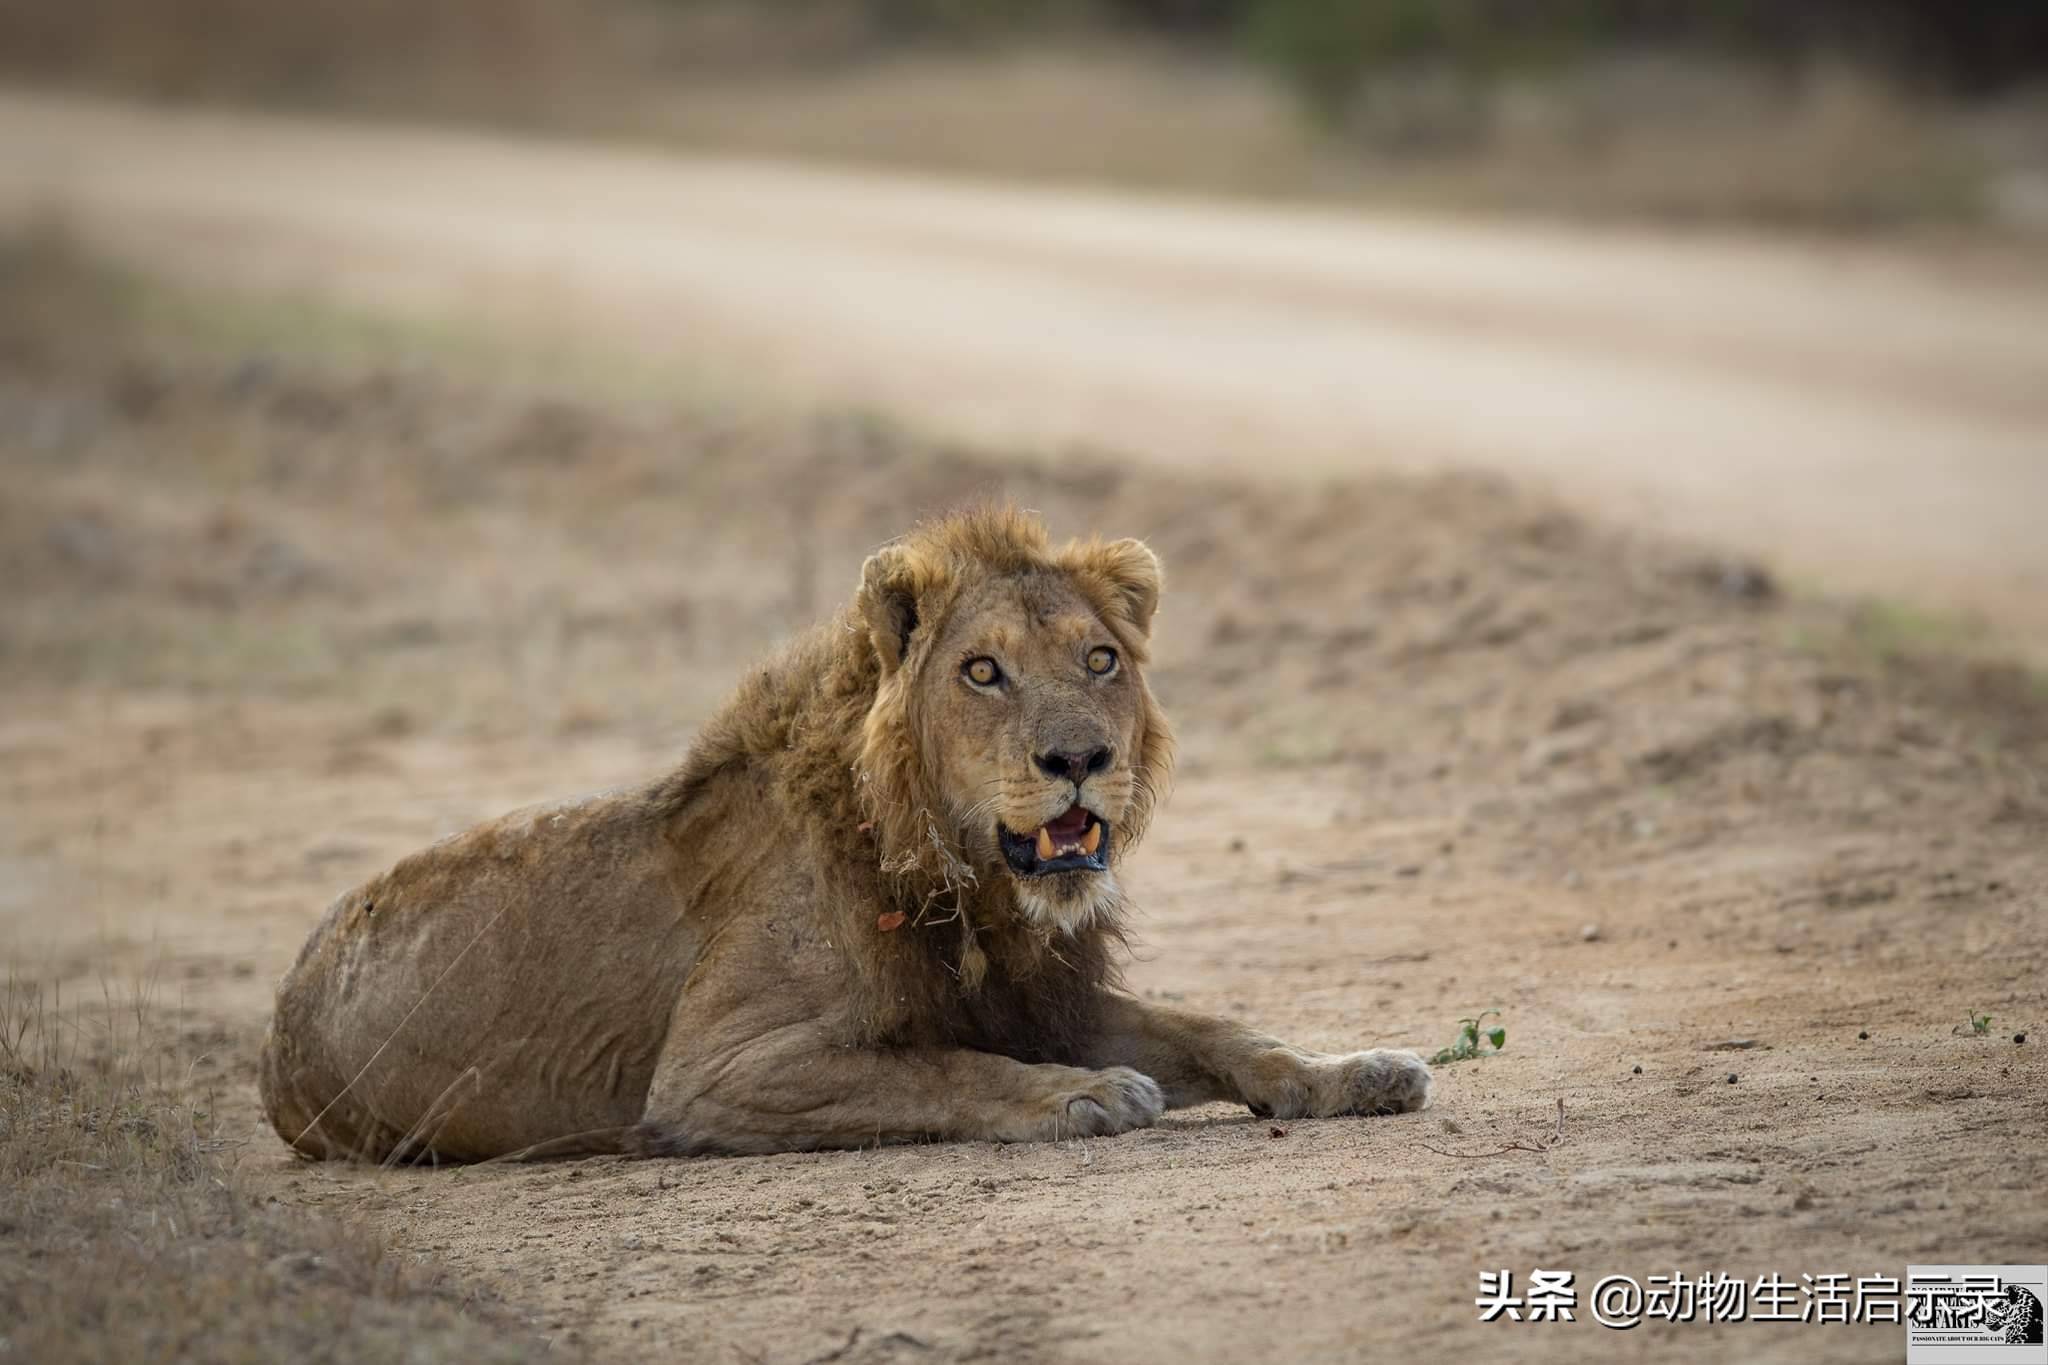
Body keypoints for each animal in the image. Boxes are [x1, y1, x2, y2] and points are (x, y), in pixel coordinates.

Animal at [264, 505, 1433, 1162]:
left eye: (1099, 658)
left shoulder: (1041, 999)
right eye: (982, 671)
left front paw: (1357, 1071)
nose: (1079, 758)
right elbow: (939, 1070)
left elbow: (1219, 1029)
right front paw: (1085, 1094)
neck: (969, 884)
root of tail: (276, 1031)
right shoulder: (715, 1071)